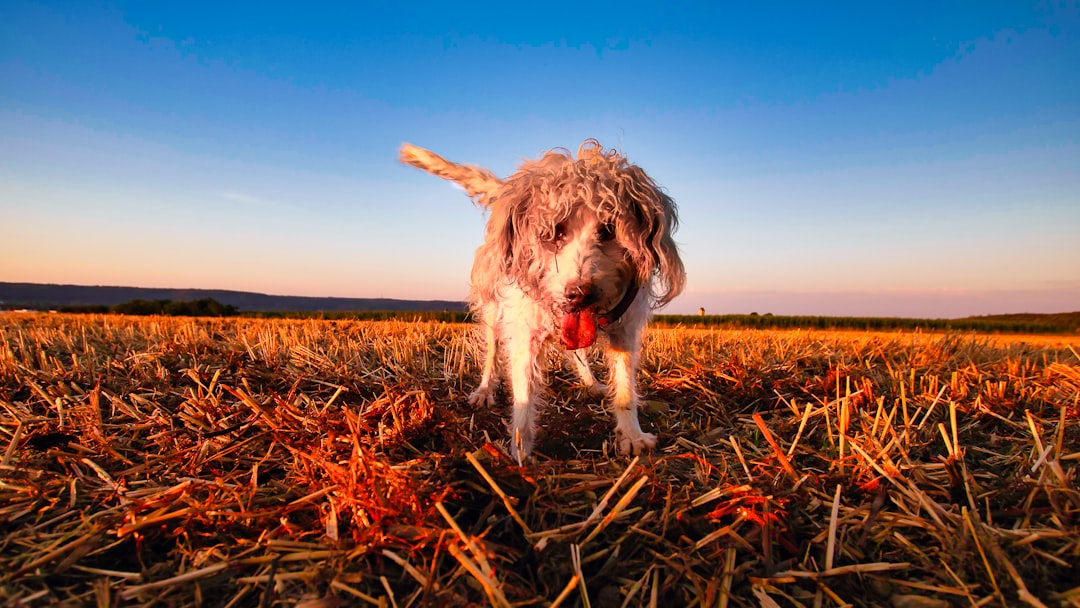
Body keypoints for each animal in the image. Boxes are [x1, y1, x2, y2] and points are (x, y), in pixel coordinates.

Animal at [401, 139, 686, 462]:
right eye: (554, 232)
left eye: (609, 230)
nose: (579, 292)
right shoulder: (525, 333)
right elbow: (523, 393)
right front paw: (520, 450)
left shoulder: (622, 330)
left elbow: (625, 387)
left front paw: (632, 435)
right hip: (493, 313)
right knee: (492, 352)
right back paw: (485, 390)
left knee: (578, 351)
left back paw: (590, 382)